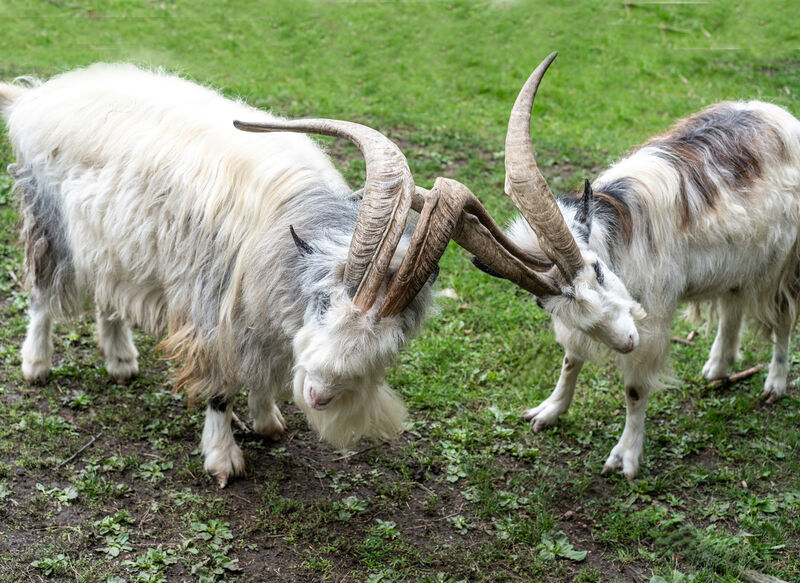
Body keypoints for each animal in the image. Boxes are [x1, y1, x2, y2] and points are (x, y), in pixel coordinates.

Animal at [474, 53, 800, 478]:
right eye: (542, 303)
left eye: (597, 269)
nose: (627, 342)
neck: (620, 232)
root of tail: (781, 117)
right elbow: (571, 358)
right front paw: (549, 411)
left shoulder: (654, 317)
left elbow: (634, 388)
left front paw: (625, 457)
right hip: (737, 261)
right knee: (733, 305)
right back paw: (717, 367)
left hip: (783, 261)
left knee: (783, 314)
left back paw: (775, 385)